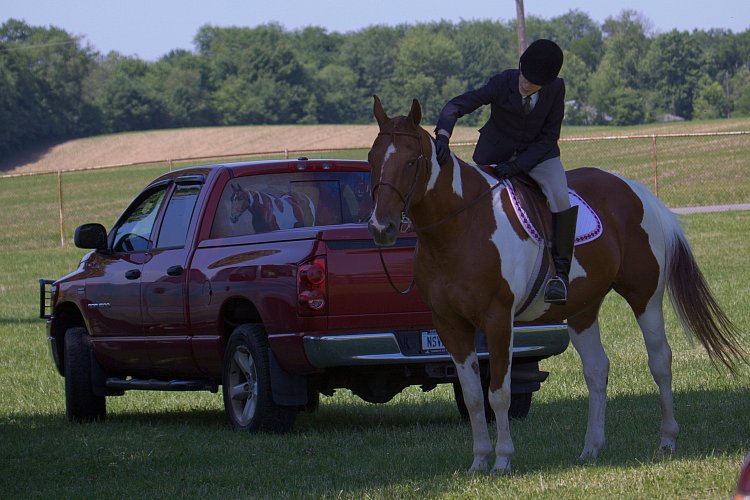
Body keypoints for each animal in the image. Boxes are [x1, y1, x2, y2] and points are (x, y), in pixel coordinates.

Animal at [368, 96, 748, 472]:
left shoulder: (497, 319)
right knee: (596, 370)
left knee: (659, 360)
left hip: (645, 298)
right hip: (582, 310)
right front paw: (478, 461)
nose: (381, 227)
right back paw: (591, 448)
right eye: (372, 158)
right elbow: (475, 397)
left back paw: (667, 438)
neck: (461, 227)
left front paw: (502, 460)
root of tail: (637, 191)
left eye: (411, 161)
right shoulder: (449, 324)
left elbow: (498, 393)